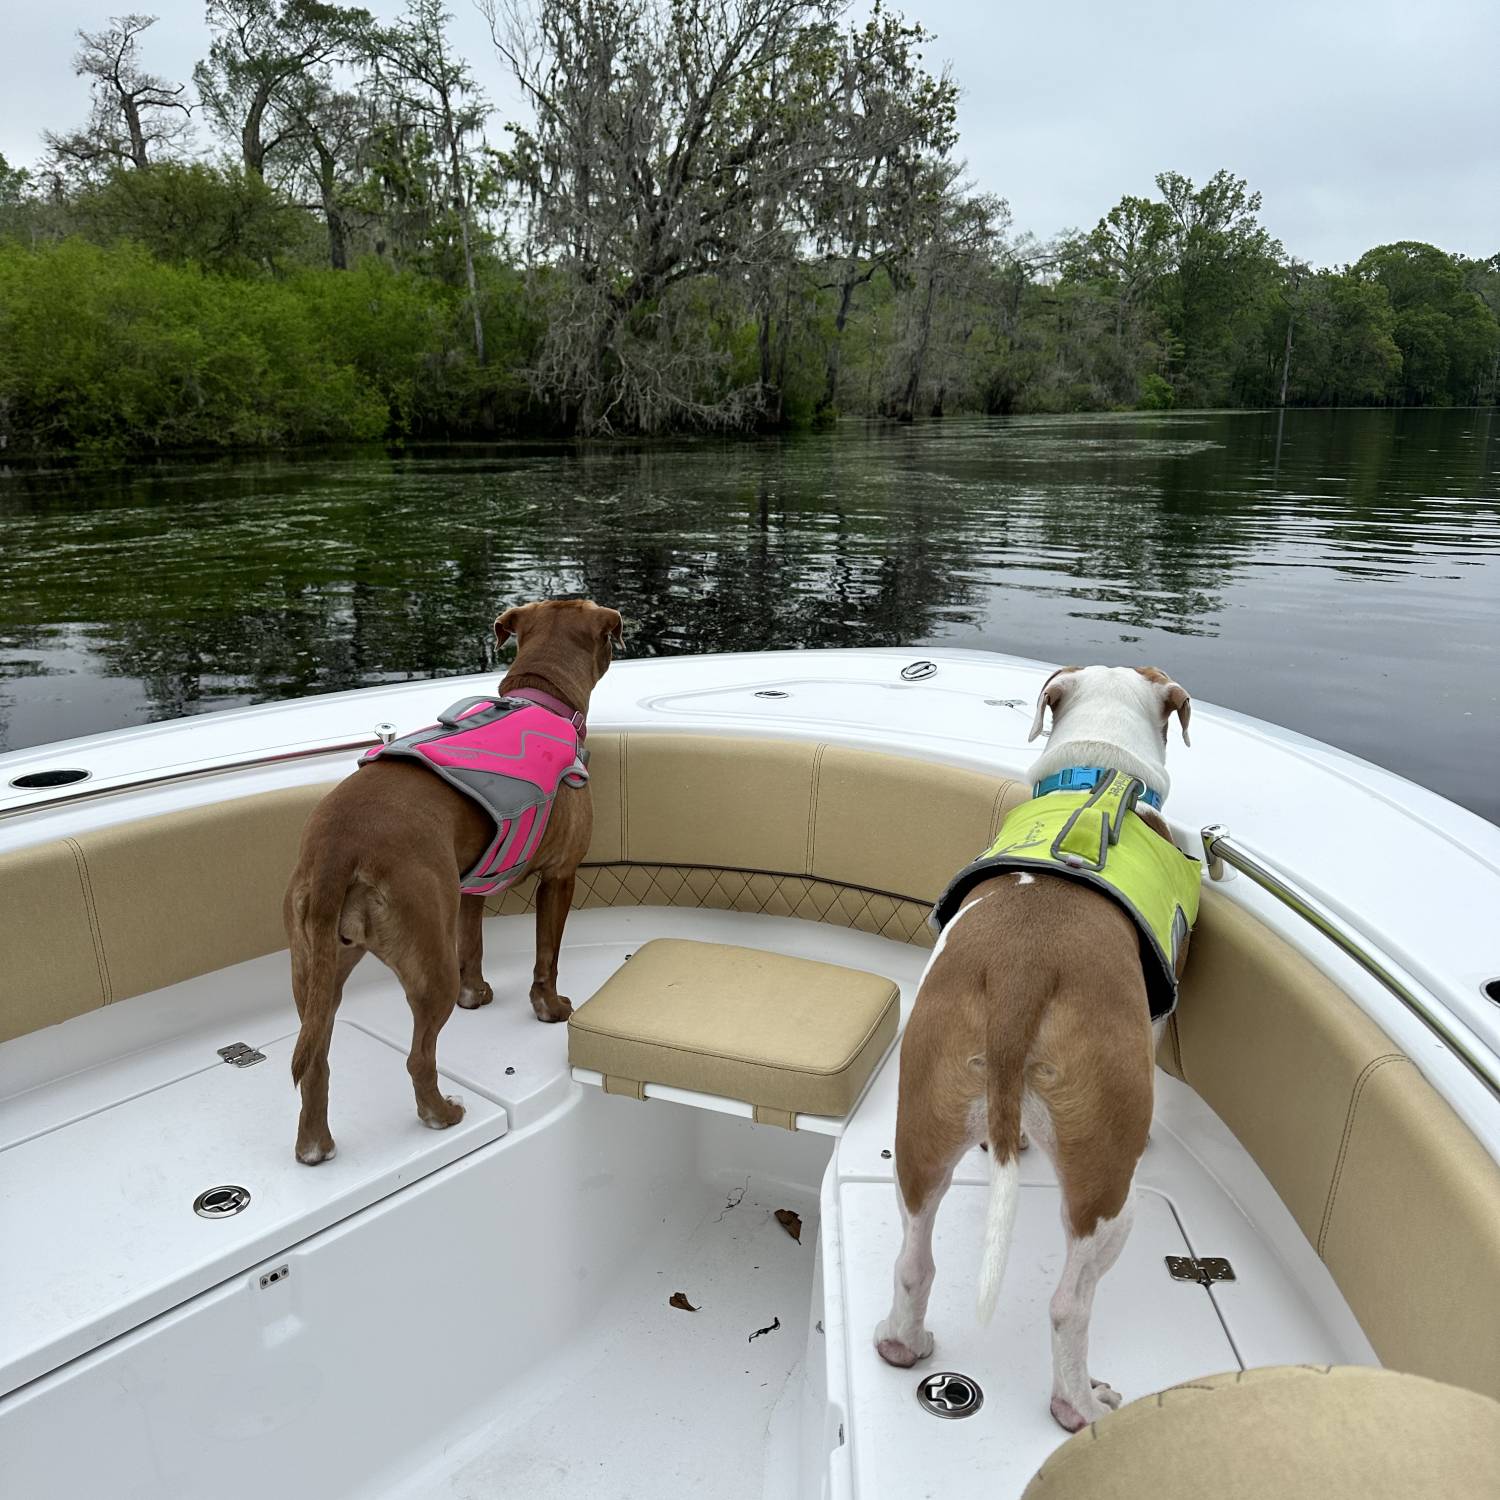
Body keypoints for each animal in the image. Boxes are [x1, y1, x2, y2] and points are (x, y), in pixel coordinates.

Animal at [282, 597, 621, 1158]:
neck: (541, 695)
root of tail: (337, 847)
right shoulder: (561, 876)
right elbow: (546, 957)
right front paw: (549, 1008)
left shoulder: (470, 890)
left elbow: (474, 946)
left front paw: (476, 993)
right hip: (423, 960)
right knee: (419, 1057)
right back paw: (440, 1114)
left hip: (316, 972)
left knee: (315, 1064)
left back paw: (314, 1146)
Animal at [876, 666, 1188, 1428]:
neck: (1102, 771)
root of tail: (1023, 971)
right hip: (1109, 1192)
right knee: (1069, 1304)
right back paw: (1080, 1403)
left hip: (923, 1120)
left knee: (913, 1257)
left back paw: (903, 1343)